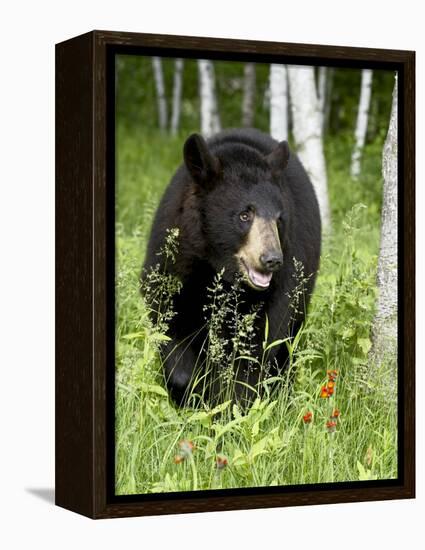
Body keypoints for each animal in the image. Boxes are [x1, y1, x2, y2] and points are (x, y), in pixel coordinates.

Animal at [141, 128, 320, 406]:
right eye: (245, 215)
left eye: (279, 219)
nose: (272, 259)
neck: (218, 269)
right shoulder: (175, 263)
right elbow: (169, 321)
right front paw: (189, 390)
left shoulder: (280, 288)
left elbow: (254, 351)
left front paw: (230, 404)